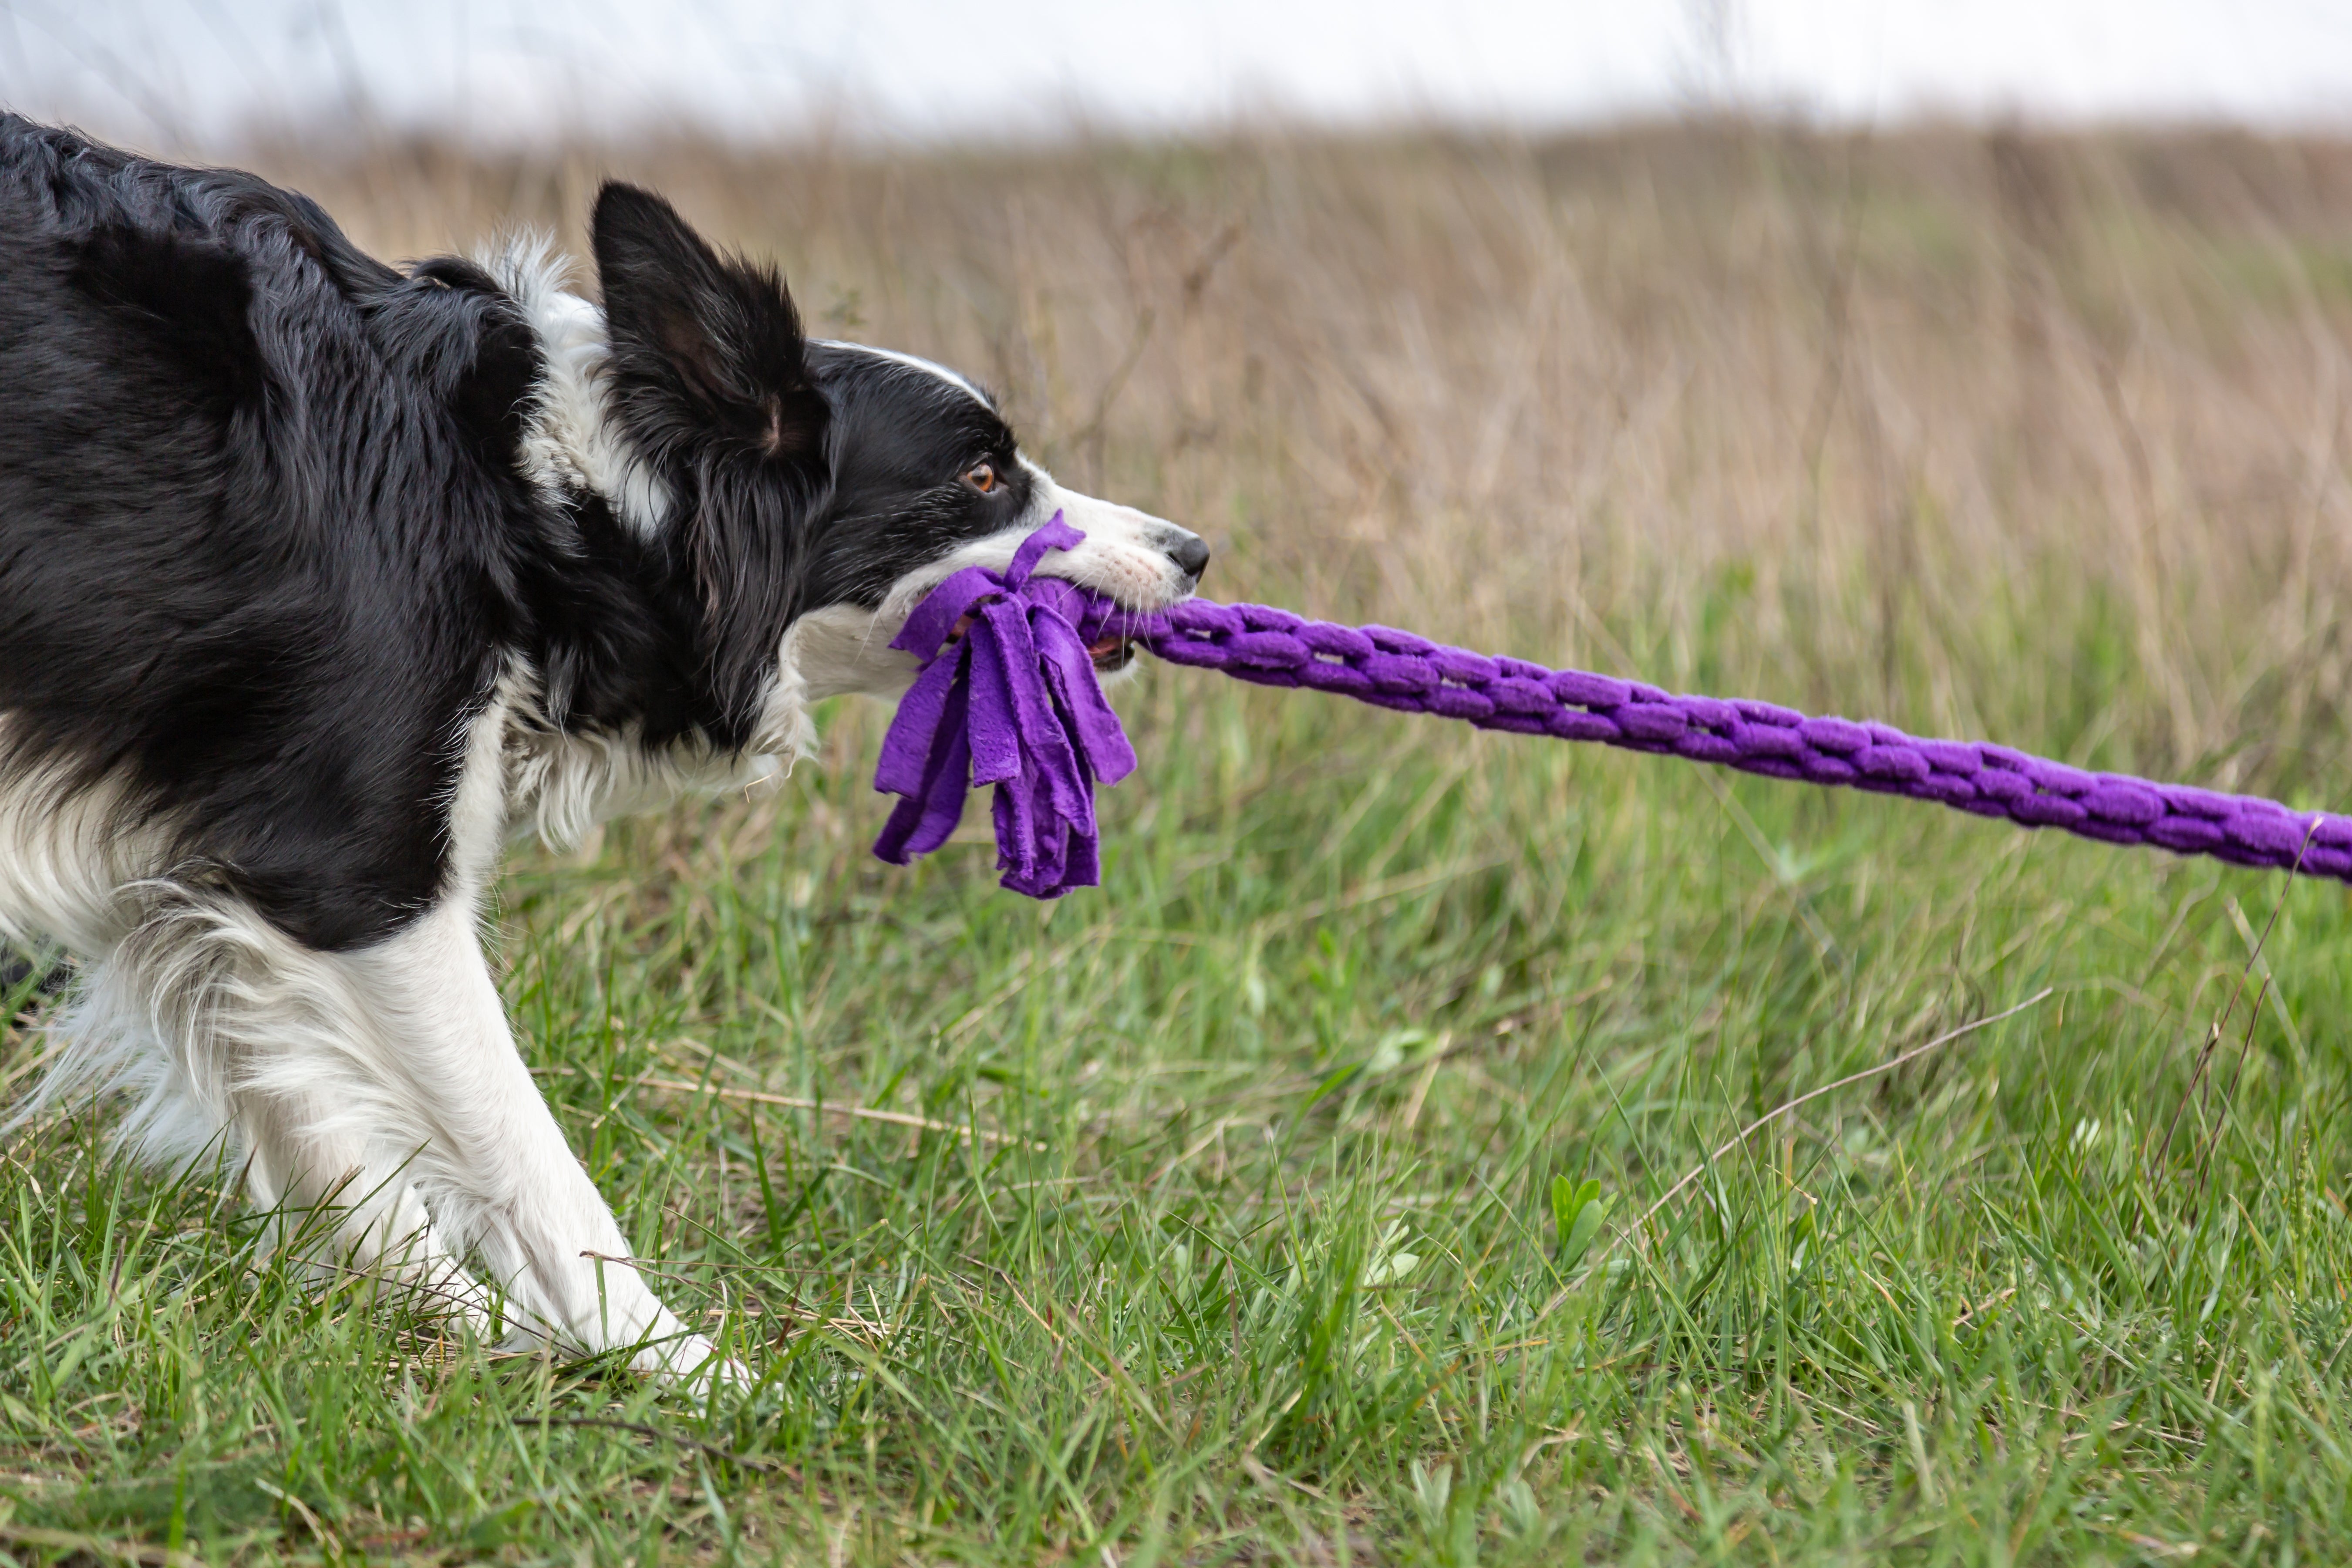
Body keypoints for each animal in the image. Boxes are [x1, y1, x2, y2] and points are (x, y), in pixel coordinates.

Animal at [0, 113, 1204, 1382]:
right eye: (981, 477)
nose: (1194, 552)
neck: (555, 516)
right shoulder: (357, 866)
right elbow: (524, 1157)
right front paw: (676, 1367)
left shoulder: (198, 872)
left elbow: (335, 1150)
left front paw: (473, 1338)